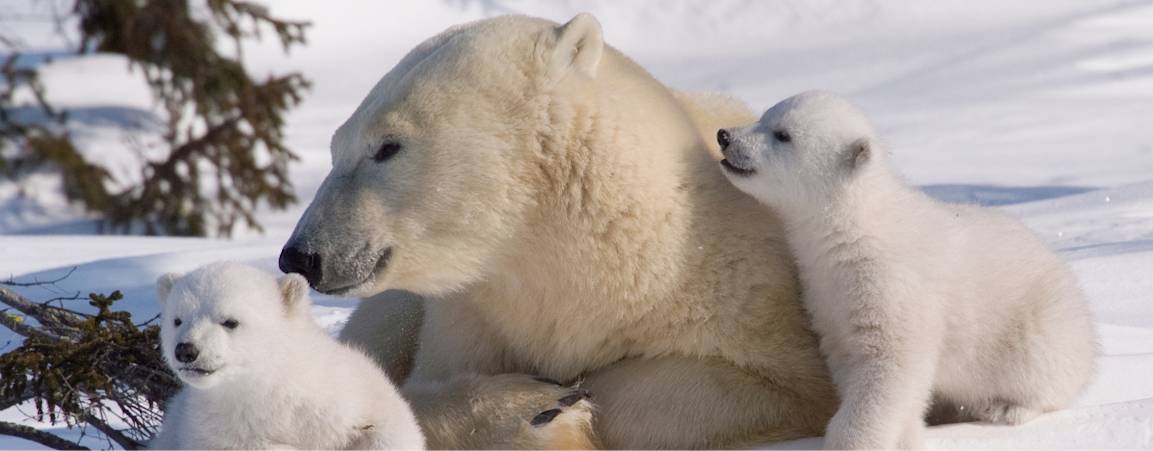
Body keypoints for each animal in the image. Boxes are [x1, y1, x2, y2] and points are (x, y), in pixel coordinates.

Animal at [149, 262, 426, 450]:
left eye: (230, 321)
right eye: (177, 320)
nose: (186, 350)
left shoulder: (346, 393)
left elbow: (391, 428)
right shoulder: (211, 430)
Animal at [277, 13, 839, 450]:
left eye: (387, 146)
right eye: (335, 146)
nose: (300, 256)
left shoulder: (743, 293)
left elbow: (775, 386)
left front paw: (565, 405)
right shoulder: (473, 316)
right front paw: (533, 409)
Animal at [716, 91, 1098, 449]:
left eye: (783, 134)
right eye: (764, 116)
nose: (724, 135)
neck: (857, 228)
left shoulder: (893, 286)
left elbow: (890, 364)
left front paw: (853, 441)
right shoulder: (826, 295)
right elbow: (850, 359)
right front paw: (909, 433)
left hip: (1038, 326)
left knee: (1043, 370)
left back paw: (1008, 408)